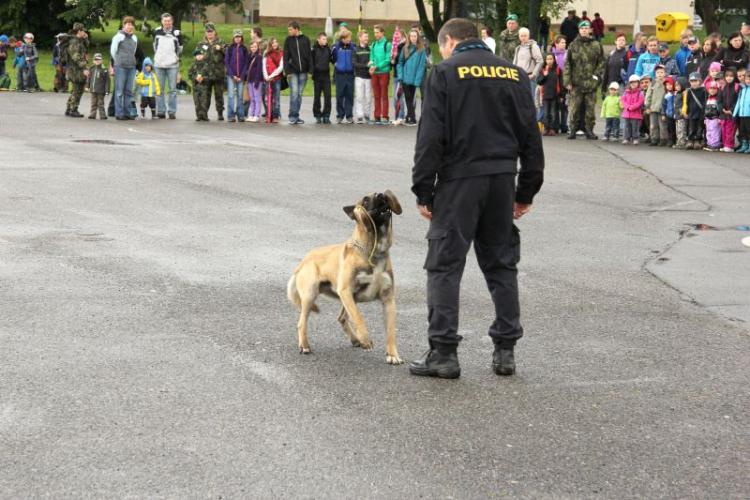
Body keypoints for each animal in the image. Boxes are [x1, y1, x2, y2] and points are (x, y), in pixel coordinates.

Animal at [288, 191, 406, 364]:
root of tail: (304, 260)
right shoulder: (346, 291)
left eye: (379, 194)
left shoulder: (388, 300)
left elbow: (391, 331)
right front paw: (366, 339)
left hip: (346, 299)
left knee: (341, 318)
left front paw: (392, 354)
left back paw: (355, 339)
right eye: (365, 200)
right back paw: (304, 345)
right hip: (311, 295)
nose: (382, 194)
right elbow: (359, 318)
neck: (374, 249)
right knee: (301, 322)